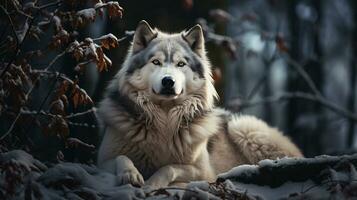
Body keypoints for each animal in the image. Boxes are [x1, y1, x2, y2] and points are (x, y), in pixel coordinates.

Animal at [96, 20, 302, 189]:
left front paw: (151, 184)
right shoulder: (102, 160)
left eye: (180, 64)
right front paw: (130, 175)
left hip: (243, 126)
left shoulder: (204, 172)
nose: (168, 81)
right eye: (156, 62)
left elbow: (169, 167)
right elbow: (121, 158)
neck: (164, 120)